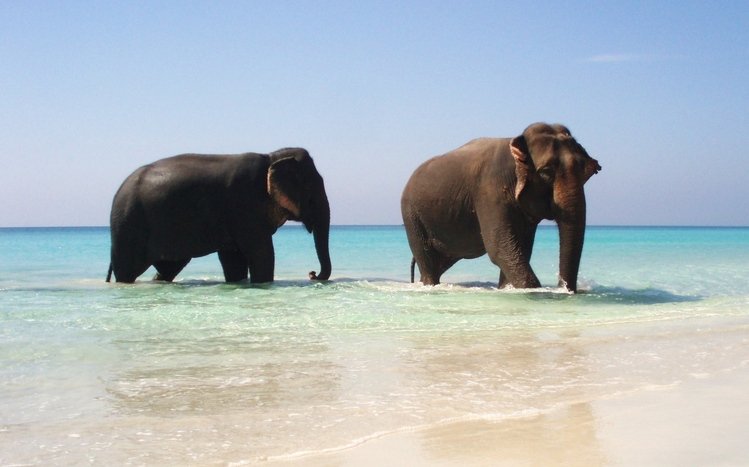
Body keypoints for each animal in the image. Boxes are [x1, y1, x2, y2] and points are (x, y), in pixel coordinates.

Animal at [106, 147, 331, 284]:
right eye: (312, 193)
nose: (312, 274)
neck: (271, 157)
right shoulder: (244, 204)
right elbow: (261, 253)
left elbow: (233, 258)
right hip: (128, 227)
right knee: (127, 270)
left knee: (169, 267)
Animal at [401, 123, 601, 292]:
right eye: (546, 172)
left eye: (585, 171)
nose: (564, 288)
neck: (515, 143)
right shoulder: (489, 191)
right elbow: (499, 247)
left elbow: (521, 248)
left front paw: (506, 288)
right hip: (411, 216)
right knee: (427, 261)